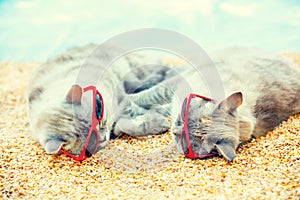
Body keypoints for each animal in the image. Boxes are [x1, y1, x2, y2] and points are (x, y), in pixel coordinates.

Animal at [28, 43, 175, 156]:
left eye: (100, 122)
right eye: (90, 140)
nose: (103, 138)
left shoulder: (119, 97)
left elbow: (134, 111)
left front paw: (158, 117)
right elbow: (125, 124)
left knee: (143, 79)